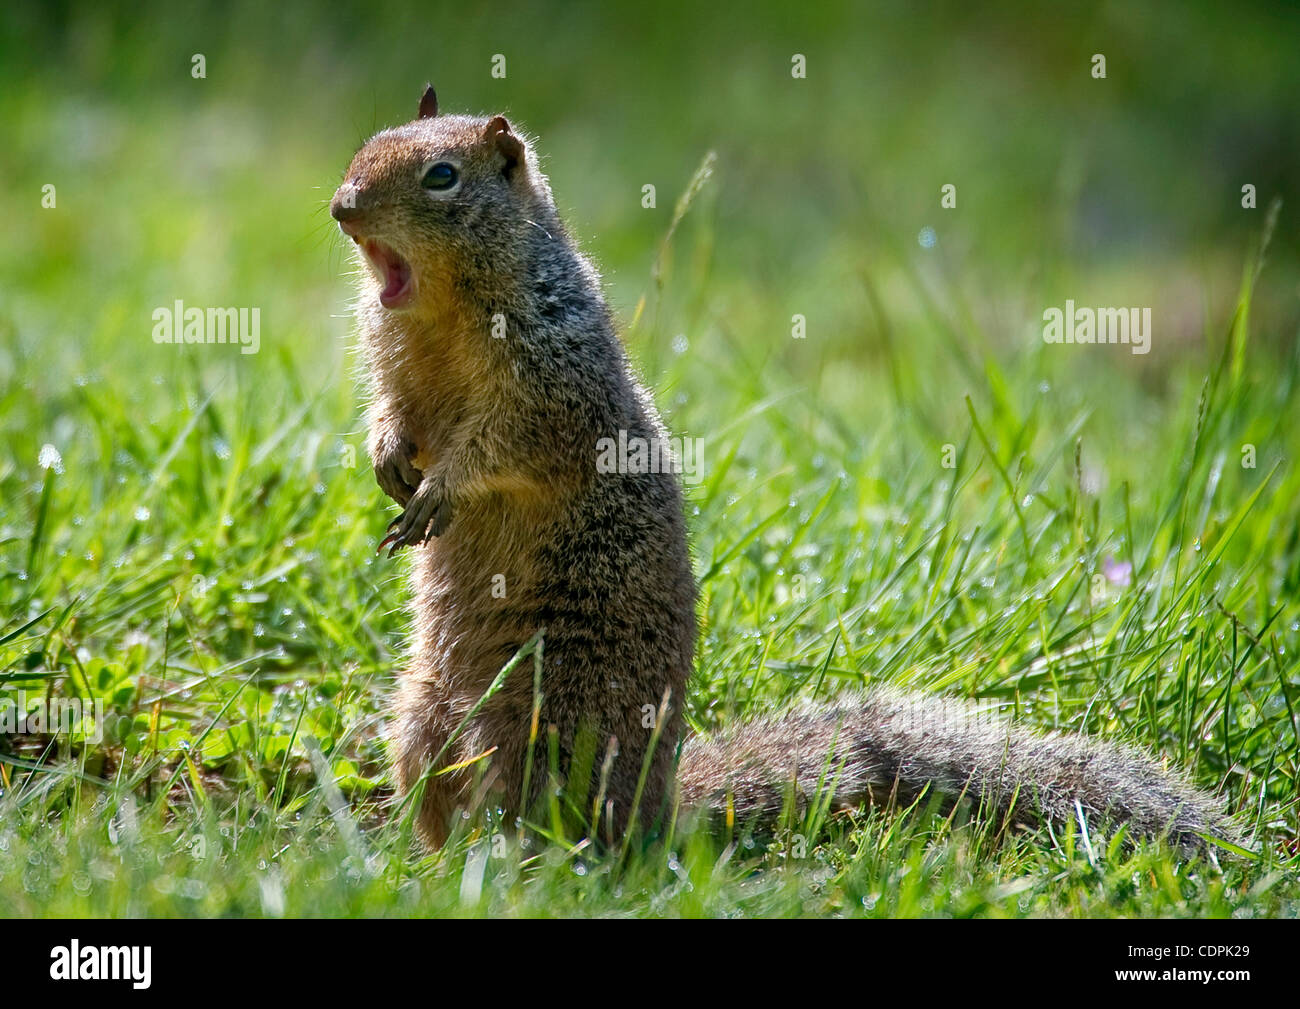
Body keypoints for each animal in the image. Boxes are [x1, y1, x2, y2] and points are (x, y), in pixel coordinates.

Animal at [329, 85, 1233, 853]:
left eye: (442, 177)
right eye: (365, 145)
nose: (342, 207)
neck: (440, 310)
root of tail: (662, 812)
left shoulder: (554, 379)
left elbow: (504, 444)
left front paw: (441, 487)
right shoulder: (397, 364)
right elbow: (394, 413)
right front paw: (387, 455)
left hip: (551, 720)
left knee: (549, 822)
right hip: (421, 714)